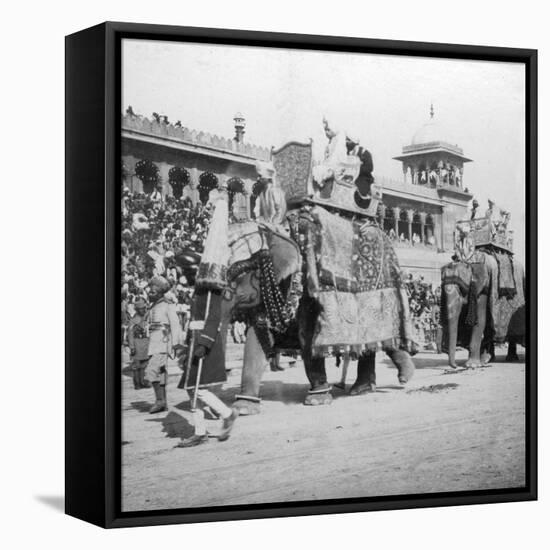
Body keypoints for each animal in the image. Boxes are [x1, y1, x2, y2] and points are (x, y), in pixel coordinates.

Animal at [225, 205, 418, 416]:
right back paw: (364, 388)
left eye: (238, 274)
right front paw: (243, 407)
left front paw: (317, 399)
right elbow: (258, 337)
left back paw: (402, 377)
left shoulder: (308, 284)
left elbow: (307, 337)